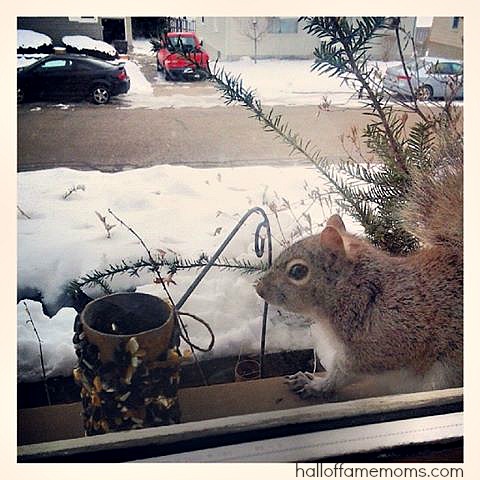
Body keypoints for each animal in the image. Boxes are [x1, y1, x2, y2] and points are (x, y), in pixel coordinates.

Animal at [256, 156, 464, 400]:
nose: (259, 288)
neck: (358, 289)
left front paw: (316, 384)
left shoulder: (382, 342)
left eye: (297, 271)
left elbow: (346, 371)